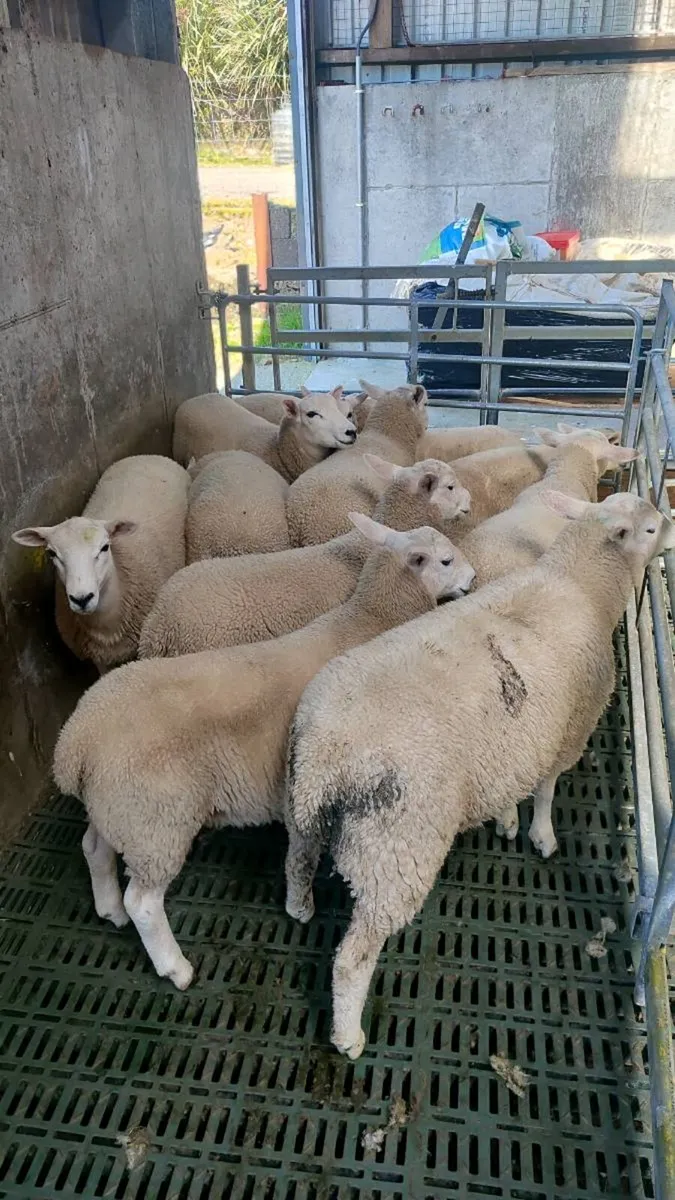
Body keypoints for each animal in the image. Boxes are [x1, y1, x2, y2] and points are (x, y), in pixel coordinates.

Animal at [53, 514, 476, 989]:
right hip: (157, 822)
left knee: (94, 848)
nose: (473, 578)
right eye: (446, 560)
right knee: (143, 902)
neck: (367, 620)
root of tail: (74, 743)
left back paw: (108, 909)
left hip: (118, 808)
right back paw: (175, 967)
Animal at [172, 389, 356, 481]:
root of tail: (197, 397)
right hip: (180, 453)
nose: (351, 432)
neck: (277, 451)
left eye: (341, 410)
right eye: (311, 414)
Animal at [284, 490, 674, 1058]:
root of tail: (328, 751)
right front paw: (540, 834)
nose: (673, 532)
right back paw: (348, 1035)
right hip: (395, 848)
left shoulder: (520, 736)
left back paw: (300, 909)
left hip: (302, 808)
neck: (579, 583)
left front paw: (508, 820)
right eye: (649, 528)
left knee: (296, 862)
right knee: (353, 958)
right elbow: (547, 787)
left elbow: (516, 781)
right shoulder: (570, 726)